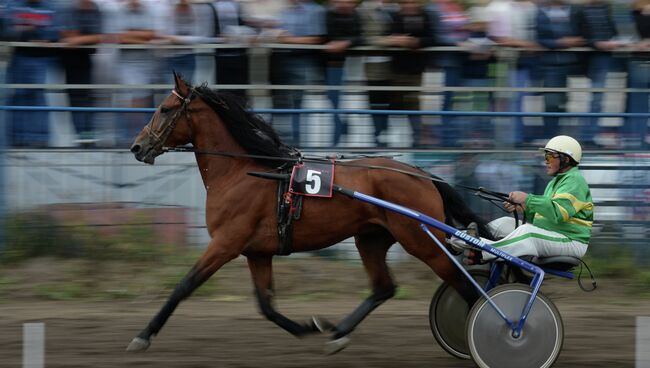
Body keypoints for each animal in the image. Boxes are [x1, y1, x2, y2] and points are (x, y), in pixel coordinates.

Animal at [126, 74, 492, 354]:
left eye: (165, 108)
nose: (137, 147)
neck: (242, 173)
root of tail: (422, 175)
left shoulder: (225, 244)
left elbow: (183, 286)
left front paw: (143, 336)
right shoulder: (257, 252)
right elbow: (266, 305)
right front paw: (309, 326)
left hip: (422, 241)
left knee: (464, 284)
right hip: (371, 239)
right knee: (384, 287)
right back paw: (339, 333)